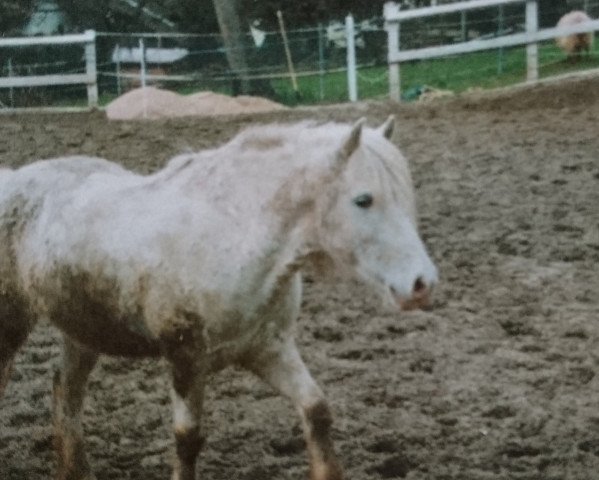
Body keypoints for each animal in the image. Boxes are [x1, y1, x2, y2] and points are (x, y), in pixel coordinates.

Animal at [1, 118, 440, 480]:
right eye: (363, 200)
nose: (422, 284)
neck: (233, 235)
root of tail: (14, 178)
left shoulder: (269, 349)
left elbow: (316, 411)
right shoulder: (184, 357)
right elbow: (187, 439)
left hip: (85, 331)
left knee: (66, 391)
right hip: (13, 322)